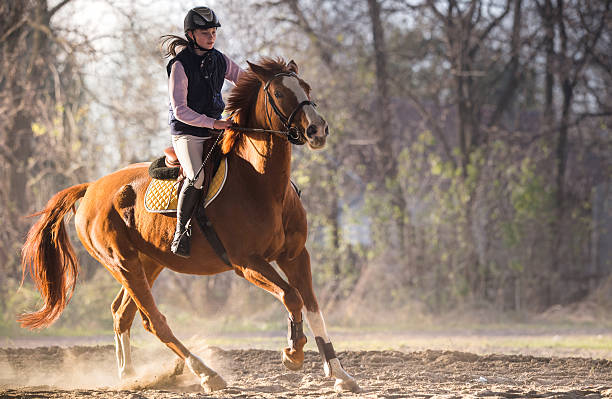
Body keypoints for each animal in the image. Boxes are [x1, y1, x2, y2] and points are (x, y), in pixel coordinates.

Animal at [20, 59, 358, 394]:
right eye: (277, 92)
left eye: (306, 87)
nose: (317, 130)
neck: (261, 183)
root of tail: (91, 187)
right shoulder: (247, 263)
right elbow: (292, 296)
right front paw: (293, 352)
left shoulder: (295, 256)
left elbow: (313, 307)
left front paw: (339, 373)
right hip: (122, 263)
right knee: (153, 321)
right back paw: (206, 373)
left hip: (148, 262)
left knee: (122, 314)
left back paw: (129, 376)